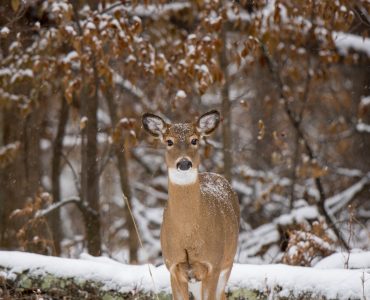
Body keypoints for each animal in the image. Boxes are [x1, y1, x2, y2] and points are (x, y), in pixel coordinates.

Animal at [142, 110, 240, 300]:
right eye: (169, 141)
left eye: (194, 140)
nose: (184, 163)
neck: (188, 234)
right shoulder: (173, 267)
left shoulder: (213, 264)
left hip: (228, 261)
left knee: (222, 294)